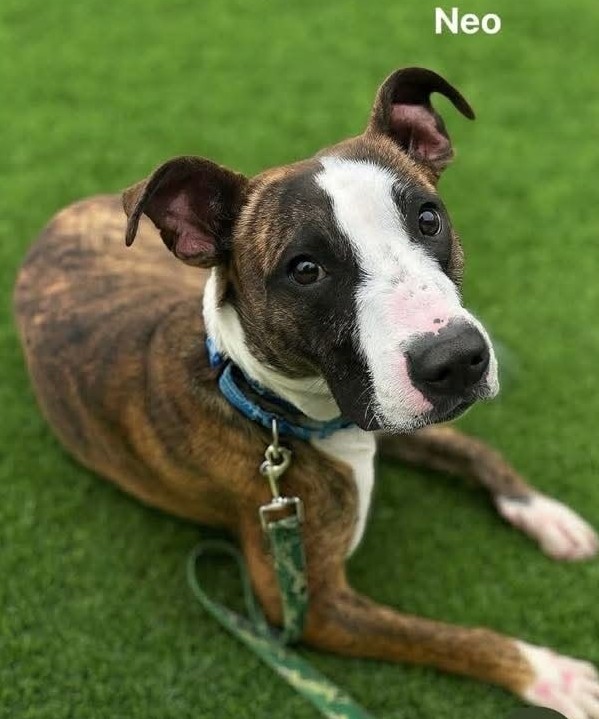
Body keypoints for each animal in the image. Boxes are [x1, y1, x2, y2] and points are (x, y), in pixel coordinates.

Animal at [14, 67, 599, 717]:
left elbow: (473, 449)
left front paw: (543, 512)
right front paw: (551, 673)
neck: (269, 406)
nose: (456, 362)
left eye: (428, 219)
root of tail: (64, 213)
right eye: (305, 269)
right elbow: (453, 639)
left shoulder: (381, 411)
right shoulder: (315, 606)